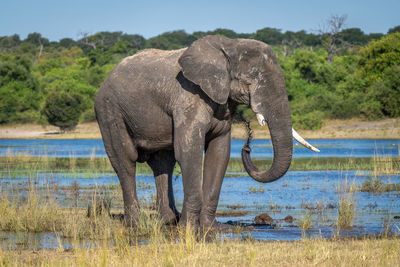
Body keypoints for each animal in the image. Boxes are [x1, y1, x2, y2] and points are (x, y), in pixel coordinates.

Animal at [94, 35, 318, 228]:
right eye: (251, 81)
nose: (247, 147)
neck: (229, 46)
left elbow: (219, 153)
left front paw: (209, 228)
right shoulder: (188, 97)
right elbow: (188, 151)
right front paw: (188, 229)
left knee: (163, 162)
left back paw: (168, 220)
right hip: (108, 110)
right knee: (125, 161)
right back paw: (135, 224)